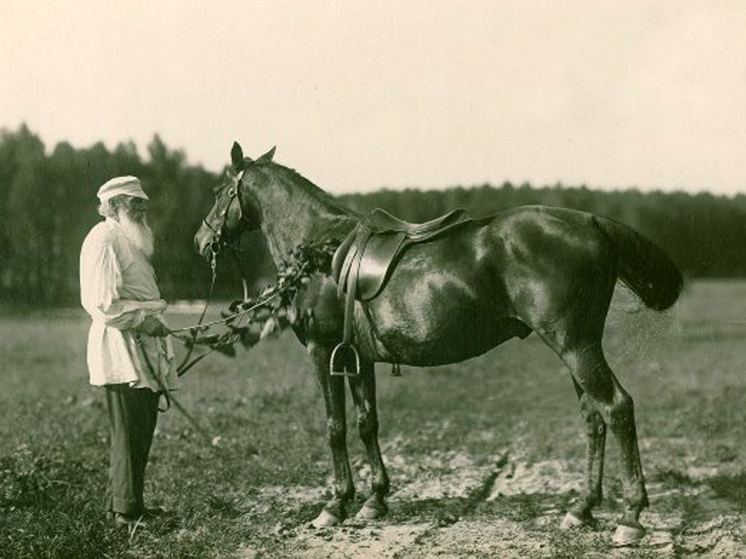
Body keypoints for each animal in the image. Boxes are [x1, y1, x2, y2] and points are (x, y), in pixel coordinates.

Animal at [193, 141, 680, 548]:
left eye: (219, 191)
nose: (201, 240)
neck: (316, 252)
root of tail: (591, 222)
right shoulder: (358, 358)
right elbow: (367, 423)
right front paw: (375, 500)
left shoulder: (321, 351)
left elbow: (335, 427)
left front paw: (335, 505)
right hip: (575, 347)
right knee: (593, 418)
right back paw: (581, 509)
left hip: (575, 346)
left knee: (616, 408)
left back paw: (630, 518)